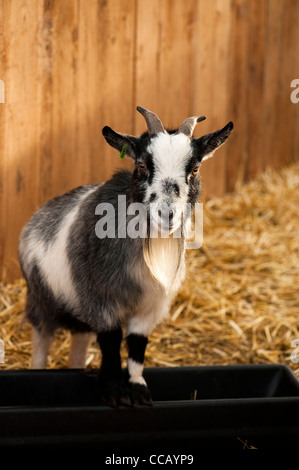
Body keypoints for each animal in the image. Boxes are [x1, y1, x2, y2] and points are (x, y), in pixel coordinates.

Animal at [18, 104, 234, 406]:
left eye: (195, 168)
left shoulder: (151, 305)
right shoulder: (100, 301)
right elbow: (110, 342)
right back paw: (38, 369)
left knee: (79, 344)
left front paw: (137, 387)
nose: (167, 214)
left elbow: (136, 345)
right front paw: (113, 391)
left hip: (79, 313)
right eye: (142, 165)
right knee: (41, 340)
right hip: (41, 301)